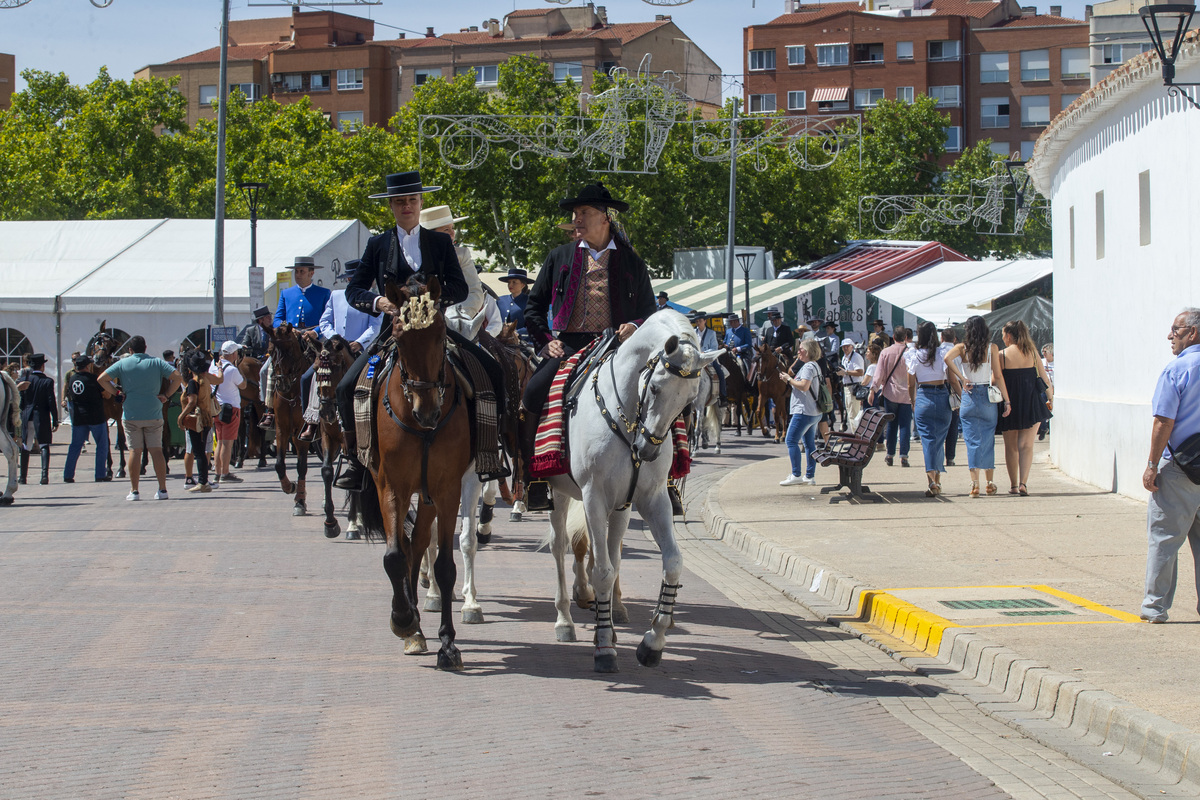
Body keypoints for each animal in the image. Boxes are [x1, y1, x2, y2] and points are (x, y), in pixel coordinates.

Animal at [355, 278, 472, 671]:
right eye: (399, 337)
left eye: (441, 335)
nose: (427, 412)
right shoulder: (392, 486)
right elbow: (393, 556)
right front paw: (403, 619)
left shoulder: (447, 489)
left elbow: (445, 566)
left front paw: (448, 644)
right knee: (407, 546)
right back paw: (413, 625)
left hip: (431, 494)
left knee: (419, 542)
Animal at [547, 309, 720, 671]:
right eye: (654, 386)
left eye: (688, 399)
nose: (648, 450)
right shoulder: (594, 497)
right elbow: (602, 571)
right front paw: (604, 648)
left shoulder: (650, 499)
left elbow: (672, 563)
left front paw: (652, 641)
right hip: (558, 493)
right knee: (559, 548)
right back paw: (565, 621)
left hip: (618, 507)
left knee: (610, 551)